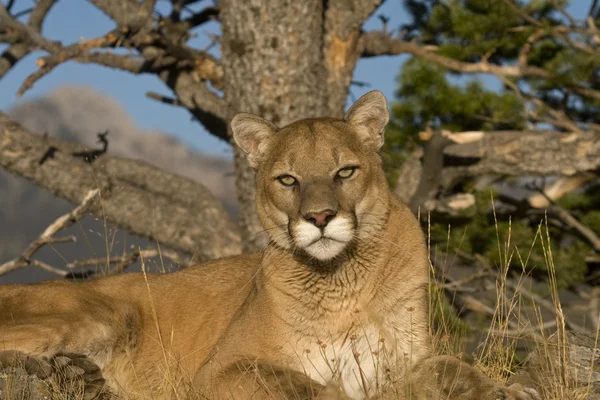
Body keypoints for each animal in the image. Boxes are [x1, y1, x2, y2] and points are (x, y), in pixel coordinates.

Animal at [0, 91, 540, 400]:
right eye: (287, 179)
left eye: (345, 171)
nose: (319, 218)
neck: (342, 282)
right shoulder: (219, 371)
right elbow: (304, 386)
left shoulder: (402, 361)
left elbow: (454, 368)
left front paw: (506, 391)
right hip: (104, 312)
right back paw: (65, 373)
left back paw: (79, 376)